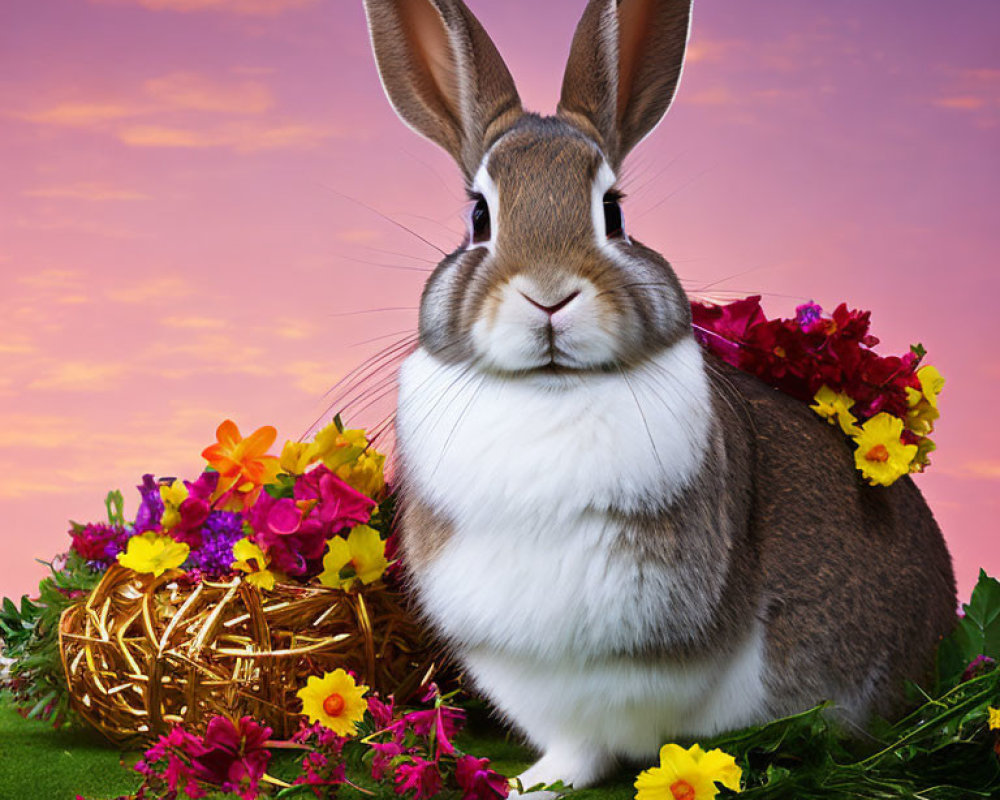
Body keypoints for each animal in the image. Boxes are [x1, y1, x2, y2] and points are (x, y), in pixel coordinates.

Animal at [362, 0, 960, 792]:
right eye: (479, 218)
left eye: (613, 212)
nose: (548, 295)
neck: (550, 393)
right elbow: (571, 745)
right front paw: (526, 784)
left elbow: (600, 739)